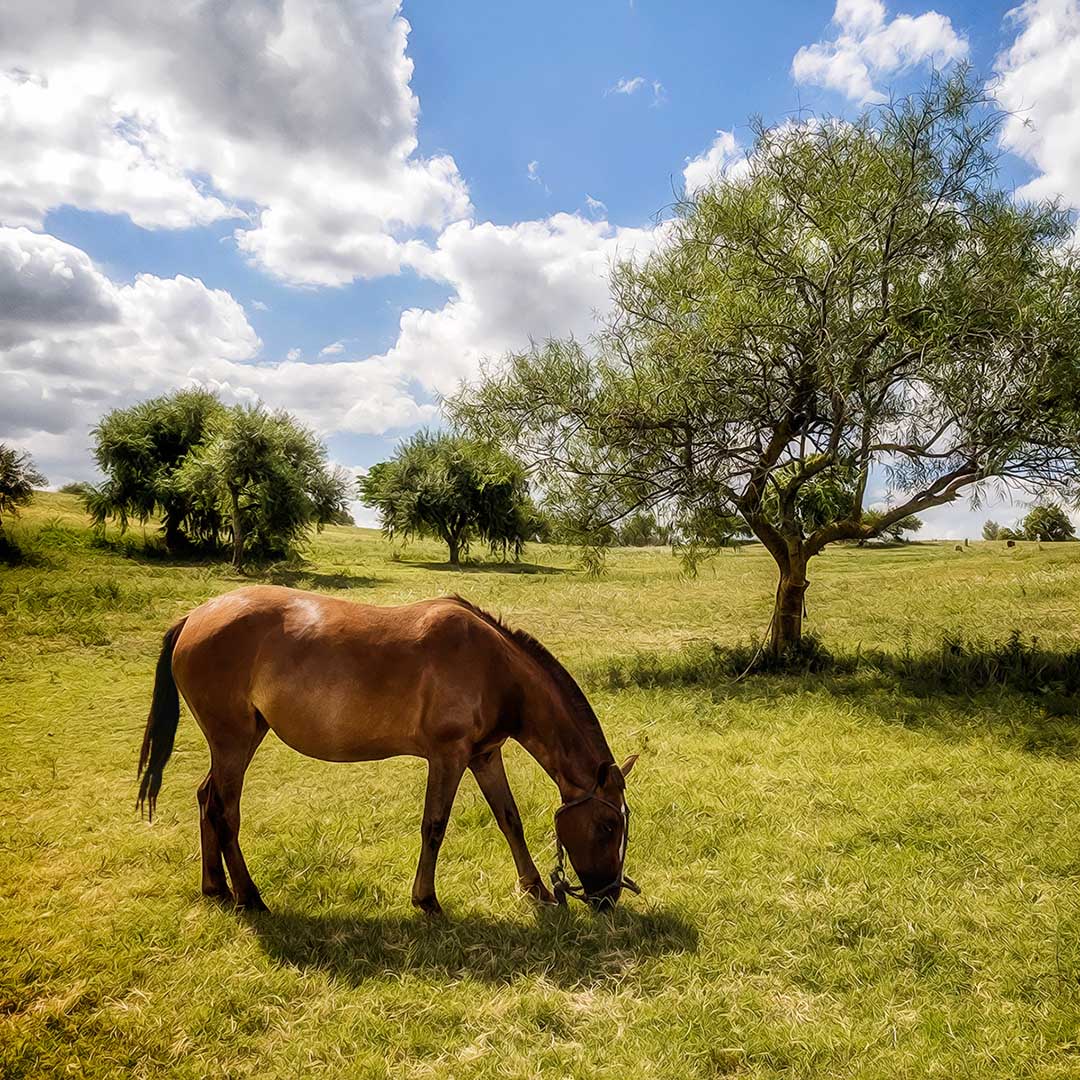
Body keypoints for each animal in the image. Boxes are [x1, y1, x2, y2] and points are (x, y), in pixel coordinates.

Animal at [138, 591, 635, 911]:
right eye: (608, 825)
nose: (608, 897)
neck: (495, 668)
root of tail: (194, 617)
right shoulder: (448, 757)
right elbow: (434, 826)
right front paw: (426, 899)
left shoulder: (484, 756)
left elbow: (509, 819)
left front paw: (536, 890)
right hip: (233, 742)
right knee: (224, 811)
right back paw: (249, 896)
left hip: (237, 742)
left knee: (207, 799)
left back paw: (216, 889)